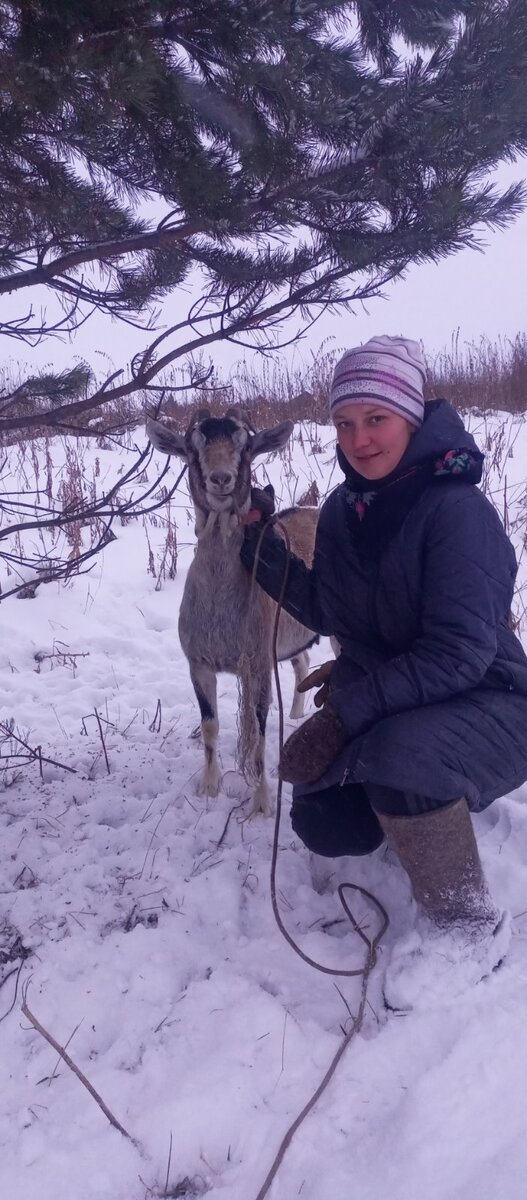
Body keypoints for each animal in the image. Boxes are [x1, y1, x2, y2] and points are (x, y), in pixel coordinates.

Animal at [148, 408, 319, 811]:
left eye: (247, 447)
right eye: (191, 448)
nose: (221, 478)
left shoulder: (257, 663)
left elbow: (257, 732)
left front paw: (262, 802)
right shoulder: (198, 662)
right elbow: (210, 725)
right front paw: (209, 788)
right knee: (302, 661)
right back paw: (295, 713)